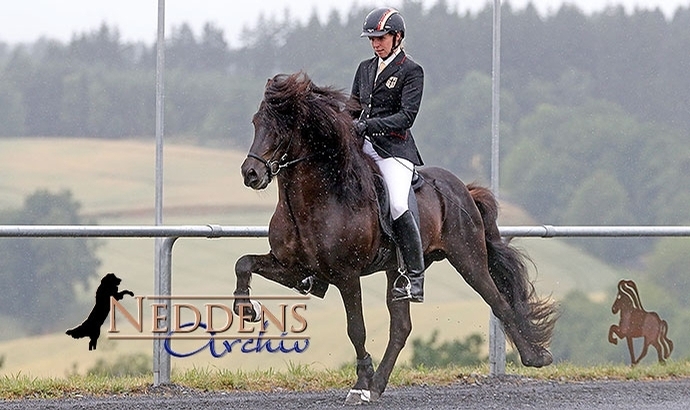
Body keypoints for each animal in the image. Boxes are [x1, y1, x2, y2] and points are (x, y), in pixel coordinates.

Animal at [234, 72, 556, 402]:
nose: (251, 174)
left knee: (497, 301)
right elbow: (243, 263)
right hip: (396, 272)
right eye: (256, 122)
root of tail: (462, 189)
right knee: (401, 328)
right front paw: (247, 309)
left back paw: (535, 357)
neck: (313, 202)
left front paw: (360, 383)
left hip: (468, 259)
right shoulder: (295, 269)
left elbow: (356, 329)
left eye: (281, 129)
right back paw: (378, 385)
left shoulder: (346, 276)